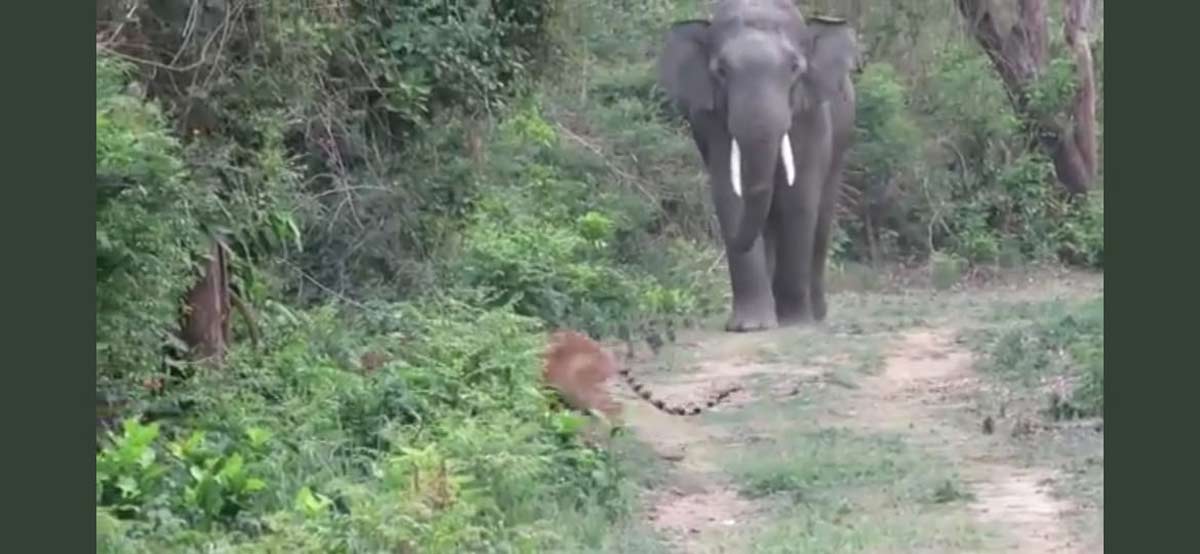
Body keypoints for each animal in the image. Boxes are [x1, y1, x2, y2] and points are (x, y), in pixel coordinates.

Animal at [656, 0, 858, 332]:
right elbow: (730, 196)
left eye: (795, 68)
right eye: (721, 71)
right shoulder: (712, 121)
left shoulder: (812, 116)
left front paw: (795, 322)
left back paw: (815, 314)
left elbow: (799, 198)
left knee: (822, 217)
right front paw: (749, 326)